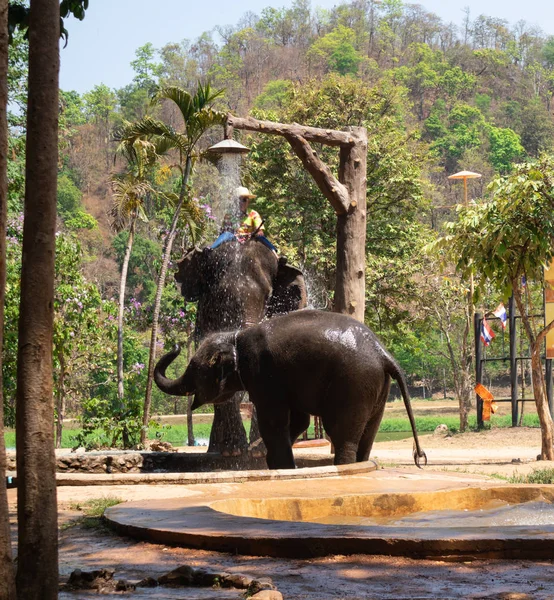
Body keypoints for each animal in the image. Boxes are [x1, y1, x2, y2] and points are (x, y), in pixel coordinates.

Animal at [153, 310, 424, 468]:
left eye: (193, 367)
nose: (176, 345)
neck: (235, 337)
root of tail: (383, 351)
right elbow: (298, 421)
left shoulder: (264, 375)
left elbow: (273, 421)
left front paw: (279, 466)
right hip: (377, 386)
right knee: (368, 433)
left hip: (353, 383)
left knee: (341, 432)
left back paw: (345, 467)